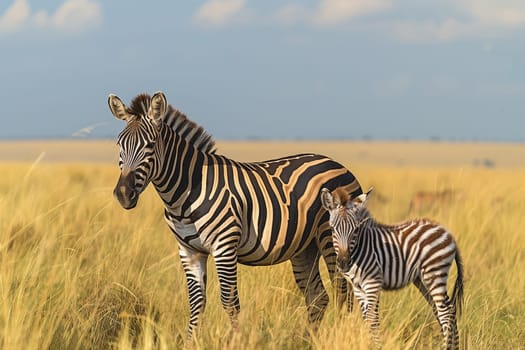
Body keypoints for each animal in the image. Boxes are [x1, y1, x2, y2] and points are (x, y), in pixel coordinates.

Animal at [106, 91, 360, 338]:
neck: (186, 193)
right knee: (318, 297)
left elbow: (229, 302)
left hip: (331, 240)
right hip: (305, 247)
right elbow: (196, 303)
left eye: (150, 145)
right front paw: (191, 342)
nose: (123, 194)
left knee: (343, 294)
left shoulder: (224, 247)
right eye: (119, 144)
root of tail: (338, 164)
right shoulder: (189, 251)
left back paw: (339, 336)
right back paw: (308, 340)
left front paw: (237, 340)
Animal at [320, 187, 462, 348]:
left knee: (445, 313)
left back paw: (446, 346)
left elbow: (372, 319)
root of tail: (446, 232)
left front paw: (376, 346)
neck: (360, 248)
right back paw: (455, 346)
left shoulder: (373, 283)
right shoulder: (358, 288)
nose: (344, 262)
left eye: (355, 229)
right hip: (424, 280)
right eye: (332, 229)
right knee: (446, 309)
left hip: (435, 273)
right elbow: (366, 318)